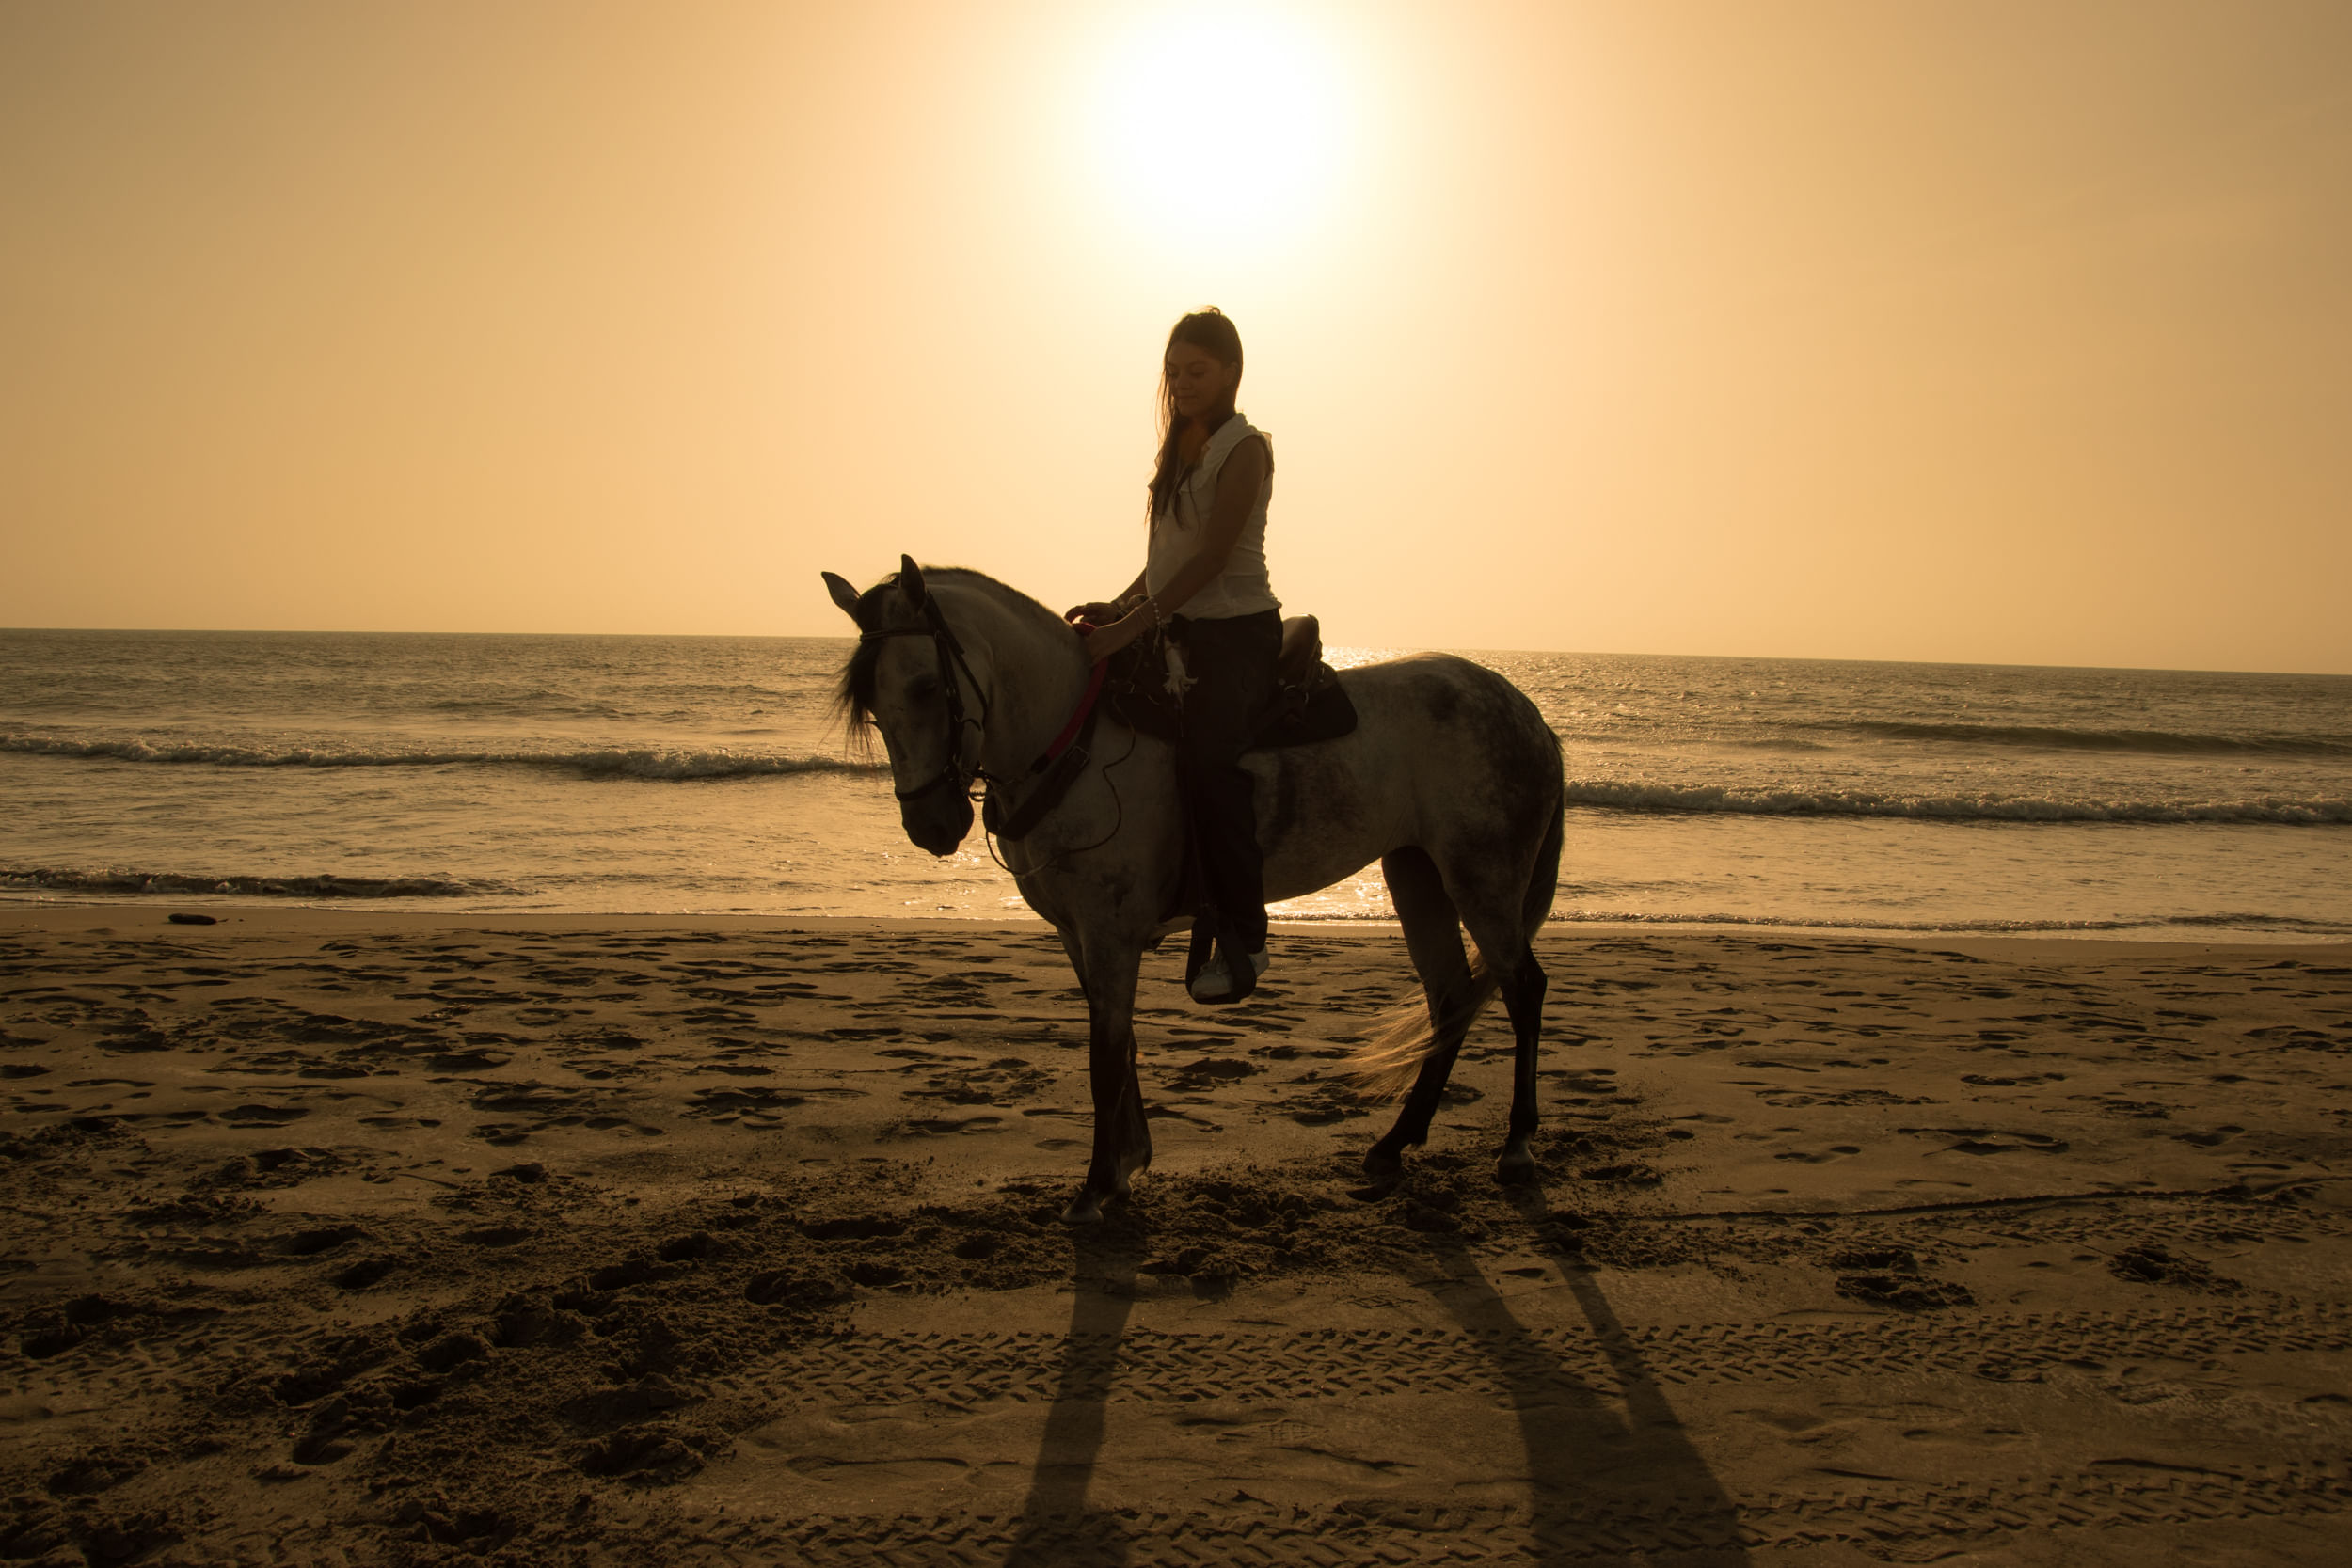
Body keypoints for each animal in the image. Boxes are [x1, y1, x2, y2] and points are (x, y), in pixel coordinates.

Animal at [824, 557, 1565, 1224]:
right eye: (872, 701)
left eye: (926, 686)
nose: (930, 823)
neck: (1073, 739)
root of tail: (1526, 710)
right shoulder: (1078, 935)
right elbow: (1120, 1044)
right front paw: (1127, 1164)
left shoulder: (1111, 934)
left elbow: (1104, 1054)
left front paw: (1096, 1186)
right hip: (1417, 875)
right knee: (1450, 997)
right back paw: (1393, 1144)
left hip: (1483, 878)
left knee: (1522, 989)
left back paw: (1517, 1146)